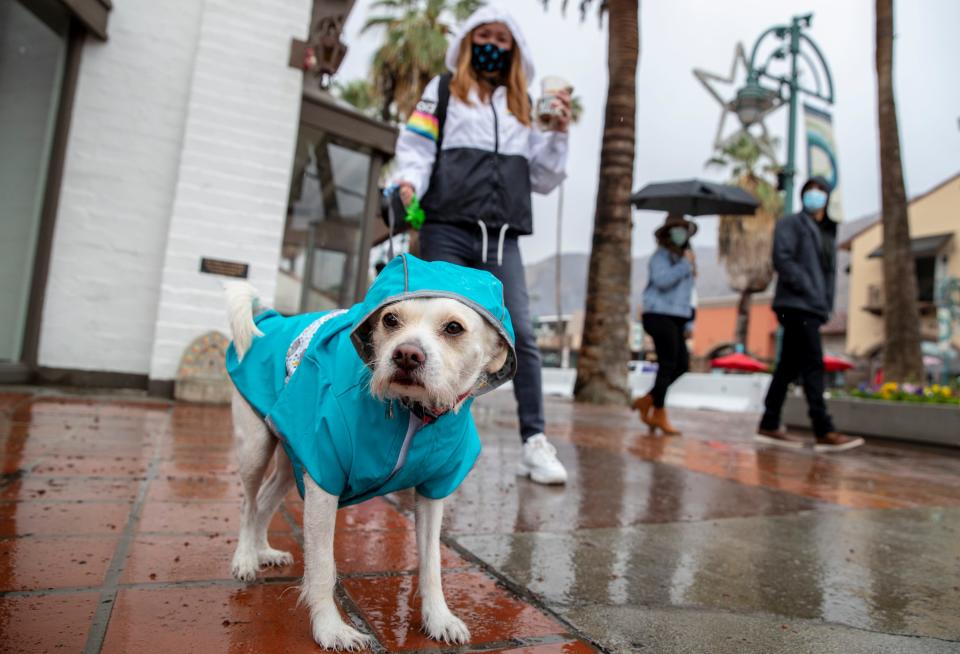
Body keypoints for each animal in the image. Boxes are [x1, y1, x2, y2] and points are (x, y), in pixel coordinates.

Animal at [223, 255, 516, 652]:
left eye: (454, 328)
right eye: (390, 319)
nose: (406, 354)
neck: (413, 412)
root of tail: (272, 318)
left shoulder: (433, 492)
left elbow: (432, 563)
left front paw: (439, 618)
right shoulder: (323, 480)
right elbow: (321, 567)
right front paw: (331, 629)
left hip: (290, 457)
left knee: (265, 502)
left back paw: (263, 551)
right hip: (256, 449)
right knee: (248, 503)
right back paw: (244, 559)